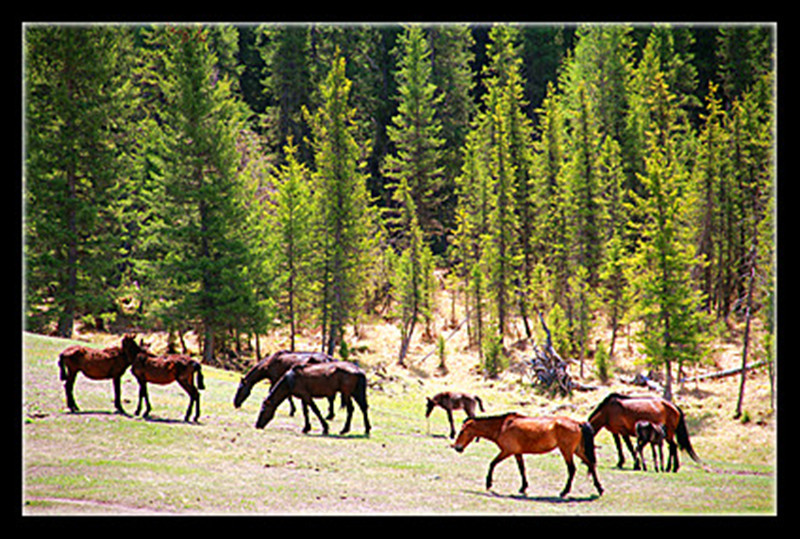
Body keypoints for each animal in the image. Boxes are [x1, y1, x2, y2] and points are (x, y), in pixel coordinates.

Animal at [454, 414, 604, 498]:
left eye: (462, 431)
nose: (457, 447)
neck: (502, 426)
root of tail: (578, 423)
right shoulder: (517, 453)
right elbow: (522, 469)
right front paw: (523, 487)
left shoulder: (507, 451)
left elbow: (492, 463)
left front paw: (488, 483)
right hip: (578, 451)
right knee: (591, 464)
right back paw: (599, 488)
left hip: (567, 451)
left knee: (572, 469)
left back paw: (564, 492)